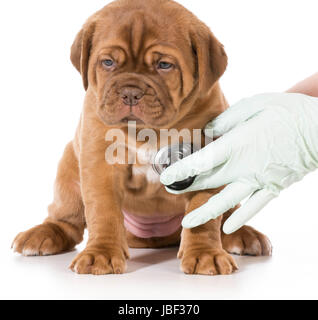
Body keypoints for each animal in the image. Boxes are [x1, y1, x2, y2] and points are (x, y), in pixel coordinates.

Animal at [12, 0, 270, 276]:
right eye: (108, 62)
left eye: (164, 65)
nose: (130, 92)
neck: (148, 131)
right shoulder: (99, 162)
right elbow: (103, 211)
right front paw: (100, 253)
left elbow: (203, 215)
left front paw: (205, 254)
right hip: (68, 169)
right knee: (67, 220)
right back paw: (42, 234)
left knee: (227, 215)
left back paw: (243, 235)